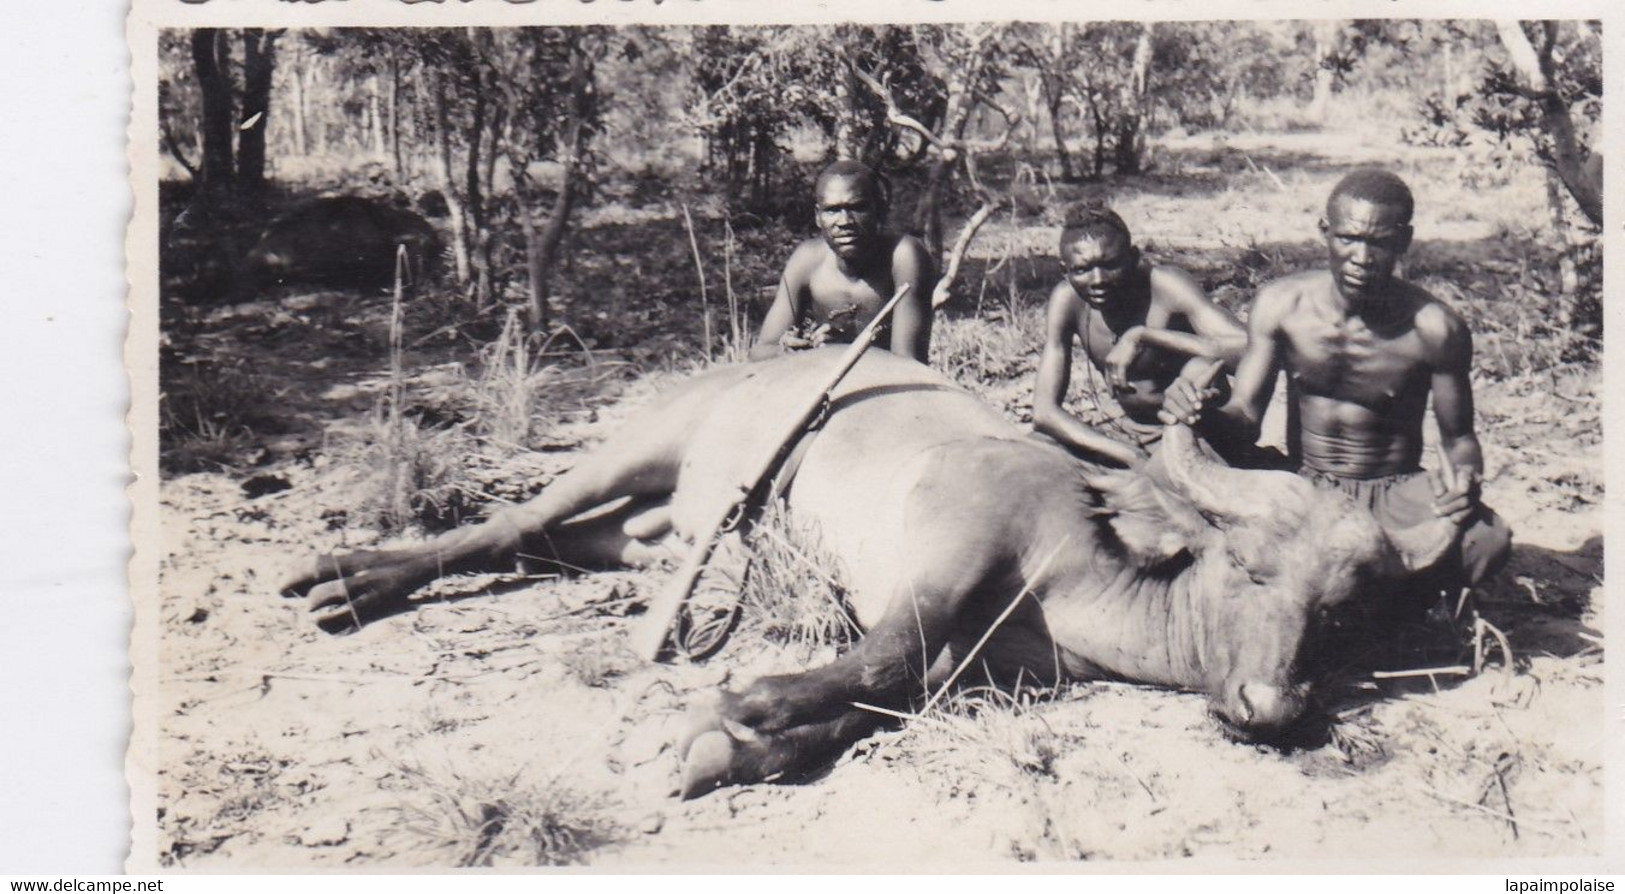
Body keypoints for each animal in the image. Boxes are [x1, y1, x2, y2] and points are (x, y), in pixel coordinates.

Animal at [282, 349, 1462, 799]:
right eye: (1247, 567)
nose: (1271, 707)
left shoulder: (984, 672)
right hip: (636, 448)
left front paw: (732, 744)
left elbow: (881, 697)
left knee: (544, 543)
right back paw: (342, 579)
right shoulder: (940, 569)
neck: (1082, 562)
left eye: (1340, 613)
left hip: (649, 533)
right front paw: (727, 708)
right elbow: (885, 657)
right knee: (510, 519)